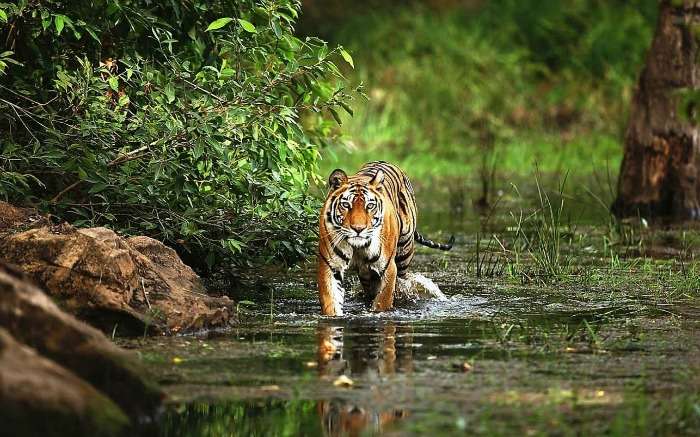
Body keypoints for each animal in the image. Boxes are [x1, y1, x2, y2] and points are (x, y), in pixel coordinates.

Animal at [318, 160, 454, 314]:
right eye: (346, 205)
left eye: (370, 206)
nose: (358, 229)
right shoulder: (330, 266)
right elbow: (330, 301)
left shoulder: (388, 268)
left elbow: (383, 301)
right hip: (366, 274)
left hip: (404, 254)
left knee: (404, 281)